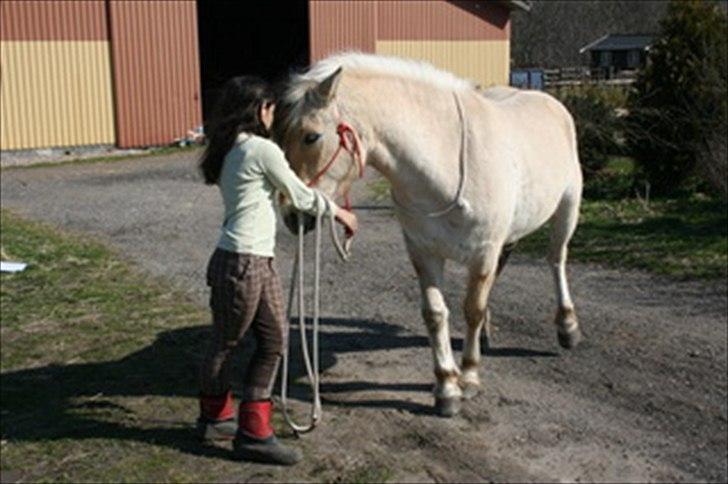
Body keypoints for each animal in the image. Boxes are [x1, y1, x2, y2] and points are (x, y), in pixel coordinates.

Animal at [274, 52, 584, 416]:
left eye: (311, 136)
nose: (292, 215)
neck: (445, 166)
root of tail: (550, 102)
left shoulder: (483, 252)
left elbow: (472, 309)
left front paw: (469, 377)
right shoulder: (424, 252)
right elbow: (435, 315)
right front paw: (447, 387)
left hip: (567, 208)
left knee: (556, 260)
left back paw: (567, 326)